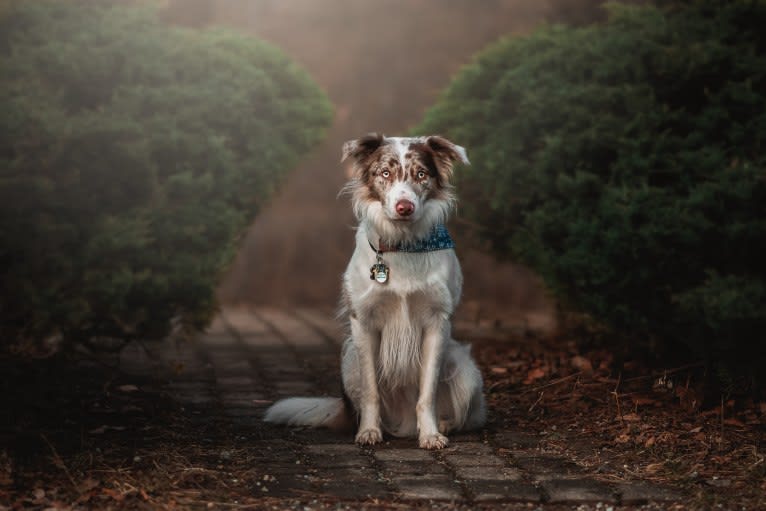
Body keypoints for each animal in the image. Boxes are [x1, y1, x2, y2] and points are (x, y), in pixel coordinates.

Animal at [266, 134, 486, 450]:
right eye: (385, 173)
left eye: (422, 174)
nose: (405, 207)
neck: (403, 245)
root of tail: (404, 424)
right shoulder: (364, 323)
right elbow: (371, 391)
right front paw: (369, 432)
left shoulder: (437, 323)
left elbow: (427, 391)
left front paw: (431, 434)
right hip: (348, 361)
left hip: (464, 368)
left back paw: (442, 424)